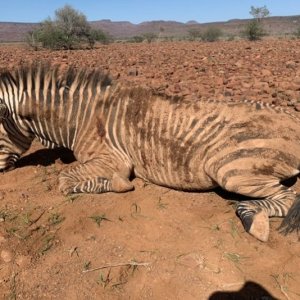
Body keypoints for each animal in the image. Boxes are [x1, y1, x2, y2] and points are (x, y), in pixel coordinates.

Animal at [0, 62, 298, 241]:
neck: (79, 118)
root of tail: (293, 117)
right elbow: (67, 179)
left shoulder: (113, 159)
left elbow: (64, 181)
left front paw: (119, 185)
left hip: (230, 169)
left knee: (288, 198)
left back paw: (254, 221)